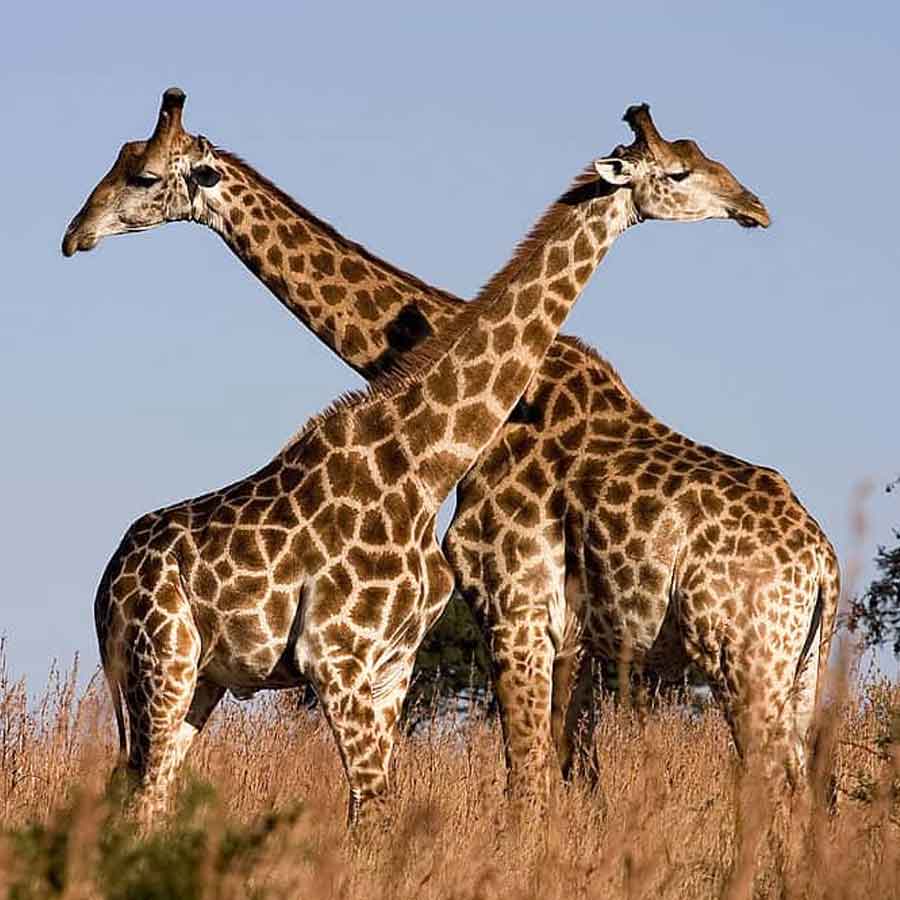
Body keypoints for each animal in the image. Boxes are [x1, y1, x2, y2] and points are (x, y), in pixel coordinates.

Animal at [62, 91, 827, 815]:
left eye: (142, 175)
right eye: (682, 167)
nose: (75, 235)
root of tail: (823, 562)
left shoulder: (503, 620)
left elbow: (527, 785)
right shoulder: (513, 631)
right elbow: (541, 785)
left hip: (754, 658)